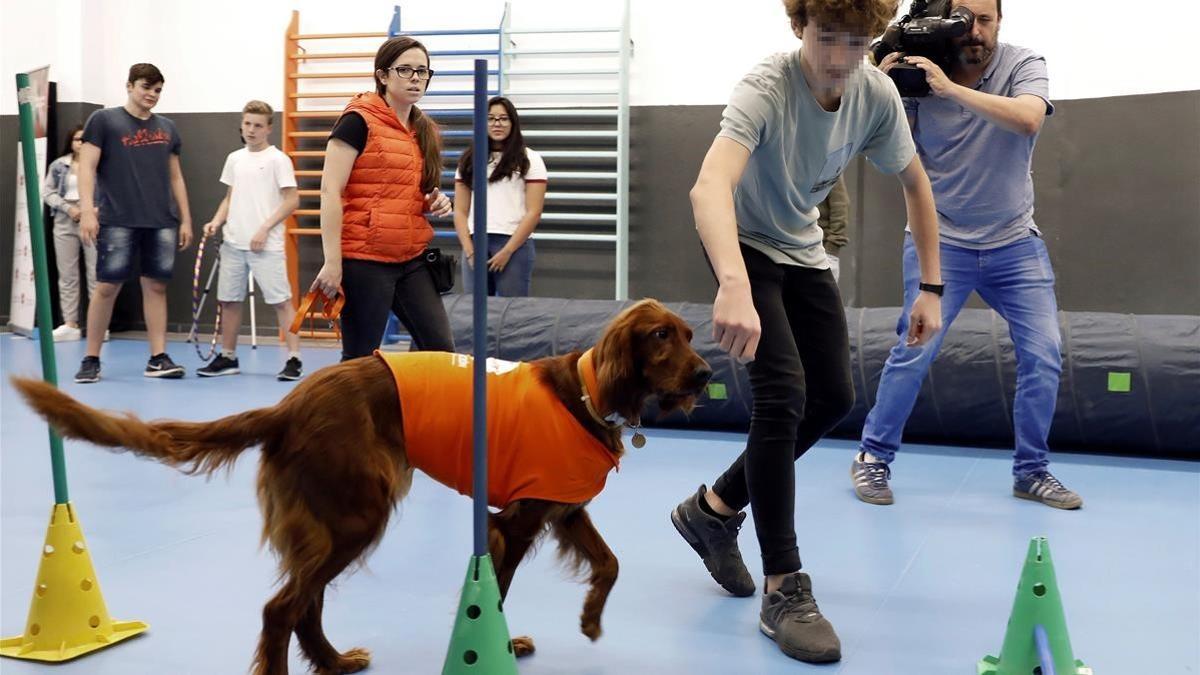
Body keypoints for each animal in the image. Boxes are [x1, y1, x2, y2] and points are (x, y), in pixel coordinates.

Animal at [11, 297, 710, 672]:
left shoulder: (561, 510)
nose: (706, 375)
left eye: (689, 334)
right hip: (358, 513)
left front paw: (589, 620)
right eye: (660, 337)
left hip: (333, 521)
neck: (585, 393)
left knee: (304, 604)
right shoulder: (512, 524)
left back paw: (334, 661)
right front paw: (502, 643)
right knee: (282, 608)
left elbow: (610, 563)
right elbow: (501, 589)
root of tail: (289, 407)